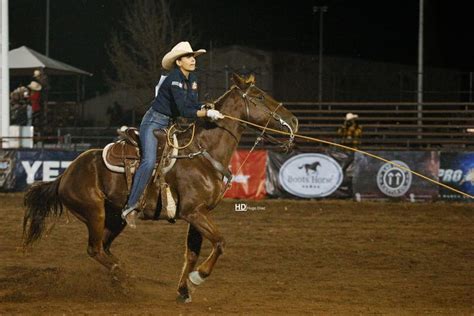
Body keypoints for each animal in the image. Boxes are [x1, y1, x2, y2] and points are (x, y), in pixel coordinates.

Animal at [22, 73, 298, 302]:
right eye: (259, 96)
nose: (294, 121)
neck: (202, 153)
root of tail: (64, 175)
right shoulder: (193, 212)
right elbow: (220, 242)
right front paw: (198, 277)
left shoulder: (198, 214)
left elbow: (192, 253)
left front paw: (184, 290)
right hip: (94, 213)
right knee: (95, 249)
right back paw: (124, 277)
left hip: (115, 218)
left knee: (104, 248)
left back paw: (122, 275)